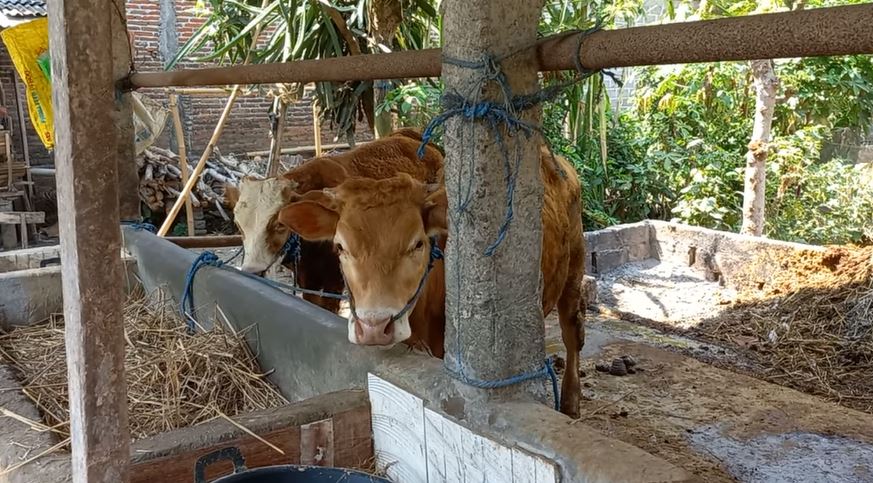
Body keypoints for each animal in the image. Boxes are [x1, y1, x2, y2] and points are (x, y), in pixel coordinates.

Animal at [276, 149, 584, 418]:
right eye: (340, 247)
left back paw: (571, 401)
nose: (374, 328)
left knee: (572, 333)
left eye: (418, 243)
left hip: (575, 269)